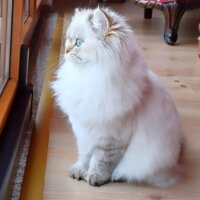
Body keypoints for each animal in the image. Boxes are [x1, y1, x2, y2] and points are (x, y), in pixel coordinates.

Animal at [51, 6, 183, 188]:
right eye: (68, 41)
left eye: (78, 43)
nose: (66, 51)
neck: (88, 77)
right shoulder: (84, 134)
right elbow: (84, 157)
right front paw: (78, 171)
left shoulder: (110, 139)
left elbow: (101, 162)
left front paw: (95, 178)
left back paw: (117, 176)